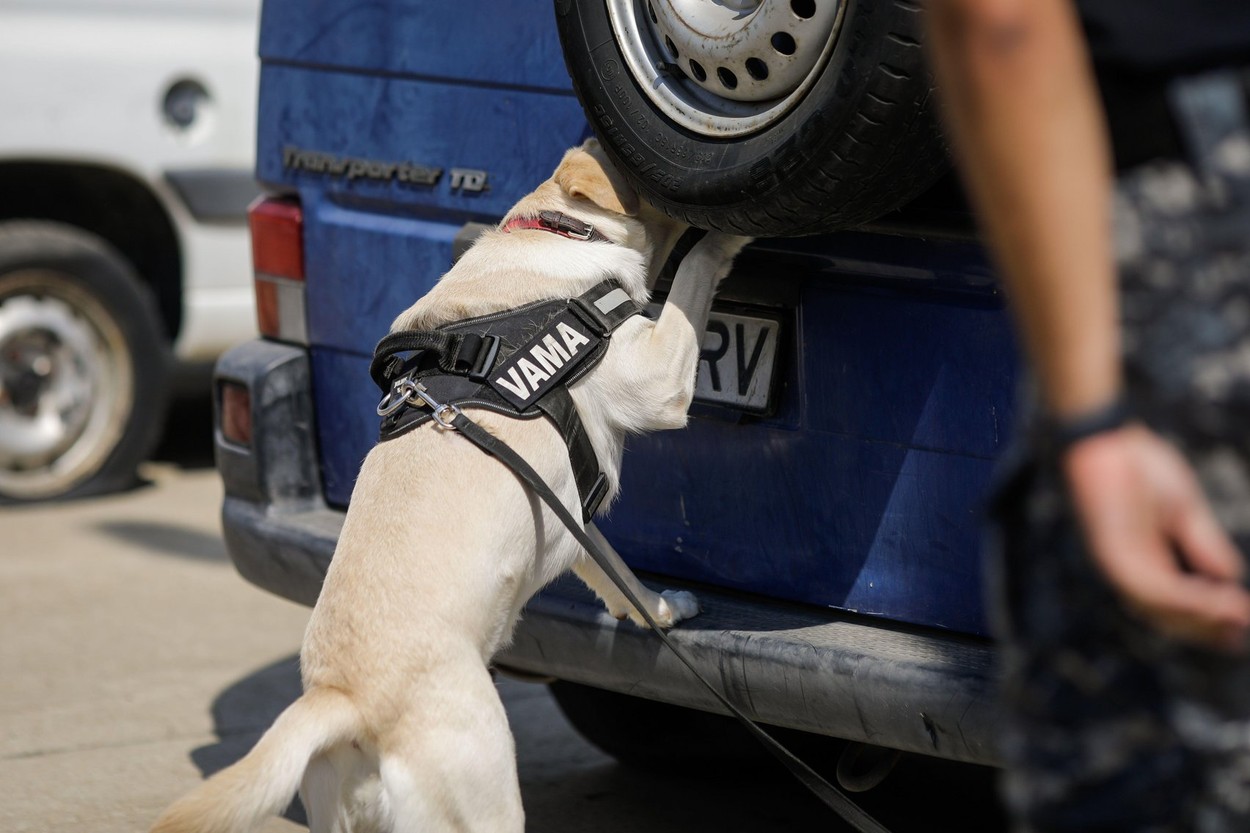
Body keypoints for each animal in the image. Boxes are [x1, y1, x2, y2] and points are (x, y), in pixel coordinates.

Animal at [151, 139, 745, 825]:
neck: (554, 229)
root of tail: (343, 699)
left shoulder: (575, 511)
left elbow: (617, 575)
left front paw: (659, 608)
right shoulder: (654, 381)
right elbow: (693, 276)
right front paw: (730, 238)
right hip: (484, 792)